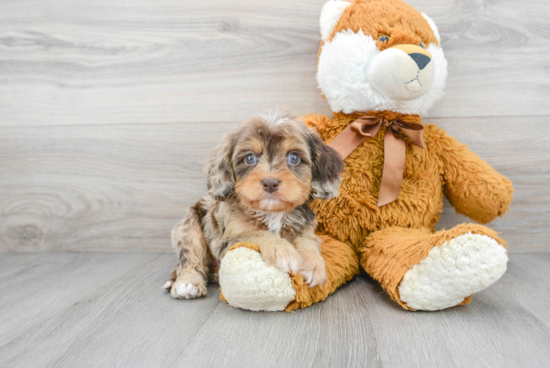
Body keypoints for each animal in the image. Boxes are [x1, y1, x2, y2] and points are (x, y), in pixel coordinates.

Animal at [163, 108, 344, 300]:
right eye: (249, 158)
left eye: (294, 157)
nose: (270, 183)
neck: (272, 212)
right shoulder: (228, 239)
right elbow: (256, 233)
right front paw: (283, 251)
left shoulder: (307, 228)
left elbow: (306, 240)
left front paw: (314, 265)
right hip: (189, 226)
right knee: (190, 258)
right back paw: (187, 283)